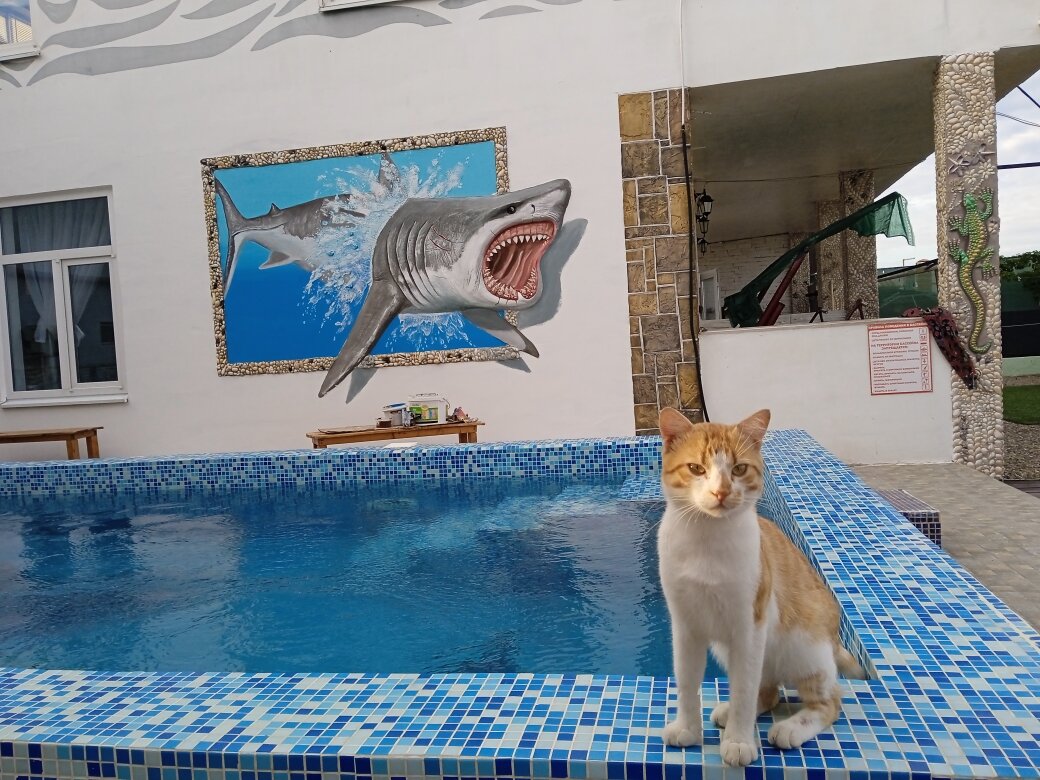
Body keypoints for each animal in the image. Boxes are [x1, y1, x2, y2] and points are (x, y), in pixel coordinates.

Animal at [656, 407, 864, 767]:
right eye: (696, 468)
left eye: (739, 469)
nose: (721, 492)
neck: (706, 541)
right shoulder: (685, 626)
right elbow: (686, 682)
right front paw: (687, 729)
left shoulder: (748, 626)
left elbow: (743, 689)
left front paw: (739, 742)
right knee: (768, 691)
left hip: (804, 651)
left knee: (828, 702)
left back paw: (790, 728)